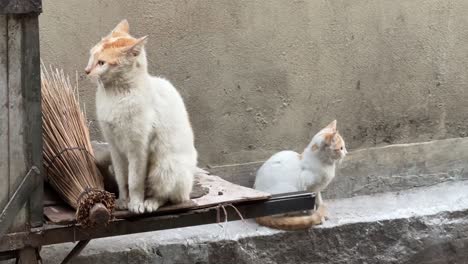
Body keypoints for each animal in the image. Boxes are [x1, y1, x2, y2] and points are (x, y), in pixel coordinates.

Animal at [85, 20, 197, 214]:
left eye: (101, 62)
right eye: (92, 56)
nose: (86, 71)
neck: (116, 94)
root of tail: (188, 188)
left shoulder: (138, 149)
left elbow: (135, 181)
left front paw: (136, 203)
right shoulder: (115, 148)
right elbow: (122, 179)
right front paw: (123, 201)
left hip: (164, 167)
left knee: (166, 196)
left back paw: (150, 202)